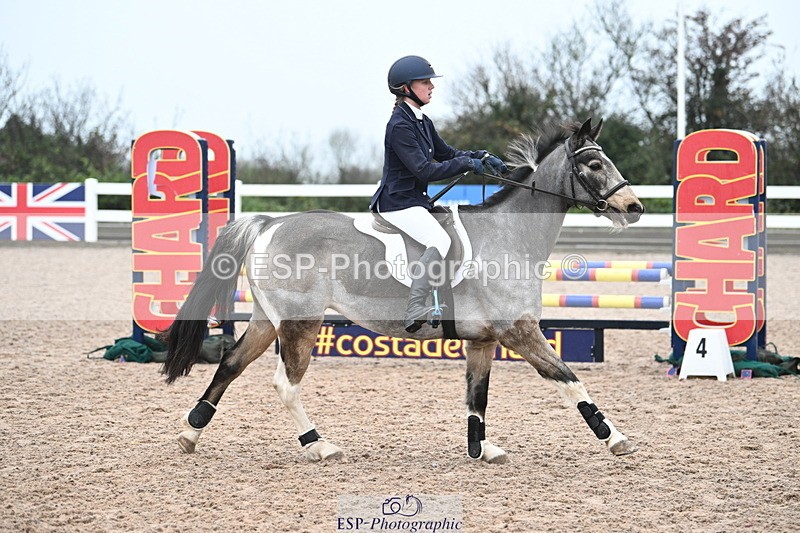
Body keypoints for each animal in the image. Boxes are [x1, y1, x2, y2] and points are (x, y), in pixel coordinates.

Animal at [162, 118, 644, 463]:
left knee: (230, 364)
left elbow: (478, 396)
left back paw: (189, 433)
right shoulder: (519, 331)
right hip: (300, 324)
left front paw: (481, 449)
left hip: (268, 320)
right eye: (595, 165)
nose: (634, 207)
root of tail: (268, 224)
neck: (509, 235)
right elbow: (569, 379)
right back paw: (319, 445)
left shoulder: (484, 340)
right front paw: (615, 438)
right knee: (286, 384)